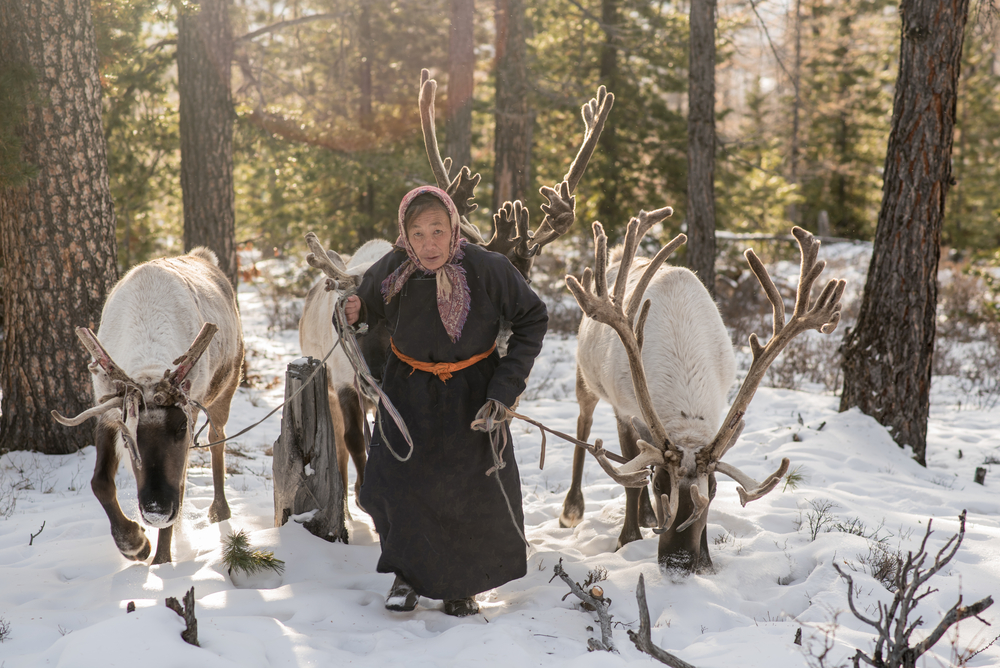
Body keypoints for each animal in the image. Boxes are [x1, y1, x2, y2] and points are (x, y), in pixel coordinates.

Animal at [52, 248, 244, 565]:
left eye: (181, 428)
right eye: (128, 437)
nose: (156, 510)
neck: (149, 366)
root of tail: (203, 256)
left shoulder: (191, 412)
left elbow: (180, 485)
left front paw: (161, 561)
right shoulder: (108, 410)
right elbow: (99, 482)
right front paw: (134, 543)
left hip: (227, 386)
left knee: (218, 440)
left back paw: (220, 509)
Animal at [563, 215, 845, 572]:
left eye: (711, 490)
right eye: (660, 485)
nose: (679, 560)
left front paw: (707, 559)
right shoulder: (626, 410)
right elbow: (631, 477)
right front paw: (627, 540)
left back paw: (645, 515)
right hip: (585, 378)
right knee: (584, 425)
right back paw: (573, 508)